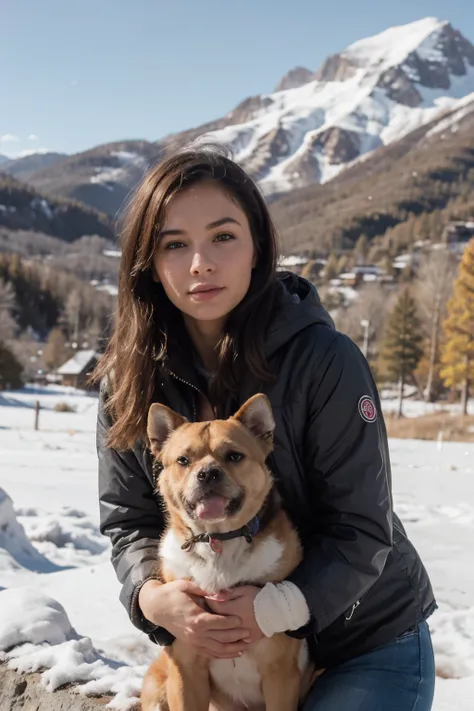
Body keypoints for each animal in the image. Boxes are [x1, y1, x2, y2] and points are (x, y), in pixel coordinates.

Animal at [139, 394, 314, 711]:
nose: (207, 474)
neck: (218, 541)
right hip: (157, 686)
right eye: (183, 460)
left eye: (234, 456)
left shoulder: (280, 674)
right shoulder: (186, 671)